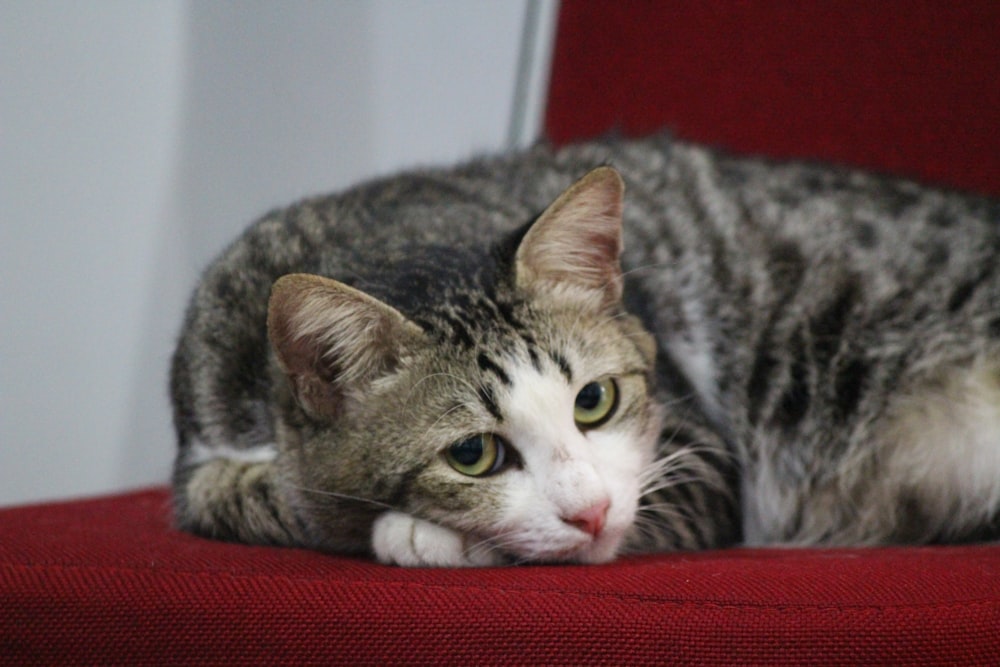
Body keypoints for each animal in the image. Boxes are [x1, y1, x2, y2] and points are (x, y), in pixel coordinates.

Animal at [172, 136, 1000, 568]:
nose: (594, 511)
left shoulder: (702, 453)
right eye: (472, 453)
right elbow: (230, 489)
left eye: (594, 400)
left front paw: (421, 533)